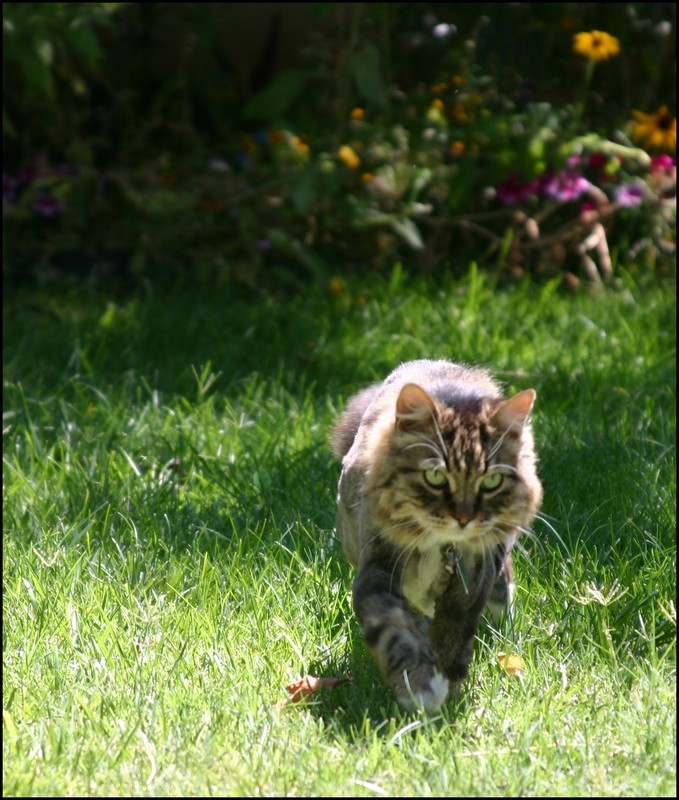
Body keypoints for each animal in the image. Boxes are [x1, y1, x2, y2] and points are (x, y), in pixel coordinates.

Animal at [332, 360, 544, 708]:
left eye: (491, 481)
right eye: (435, 477)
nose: (464, 518)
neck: (442, 546)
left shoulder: (473, 577)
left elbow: (453, 630)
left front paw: (445, 677)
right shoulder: (377, 568)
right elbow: (392, 629)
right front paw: (419, 687)